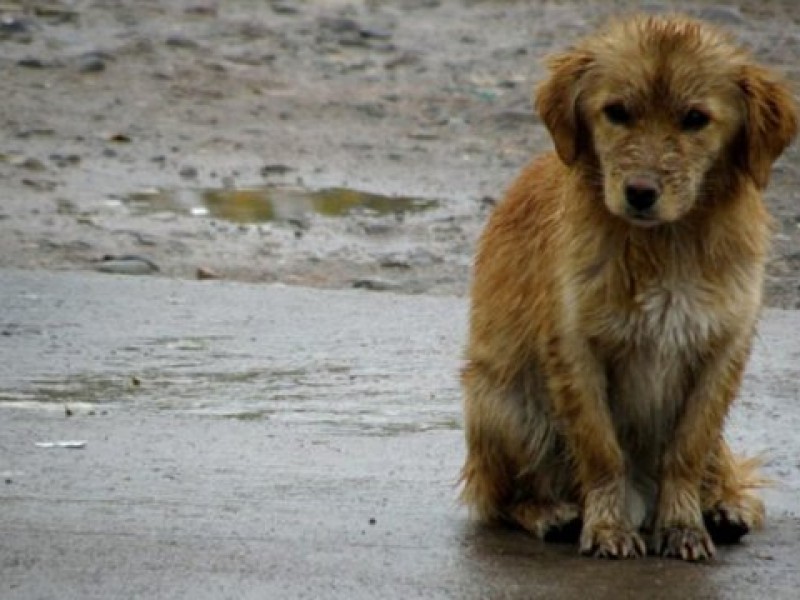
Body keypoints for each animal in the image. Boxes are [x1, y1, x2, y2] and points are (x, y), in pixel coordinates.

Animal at [460, 15, 796, 564]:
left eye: (695, 119)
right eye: (616, 111)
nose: (640, 192)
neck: (666, 244)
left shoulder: (722, 350)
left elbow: (686, 450)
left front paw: (682, 524)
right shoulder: (576, 349)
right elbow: (602, 451)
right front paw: (608, 526)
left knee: (722, 469)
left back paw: (724, 506)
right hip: (505, 404)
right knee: (501, 497)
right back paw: (550, 513)